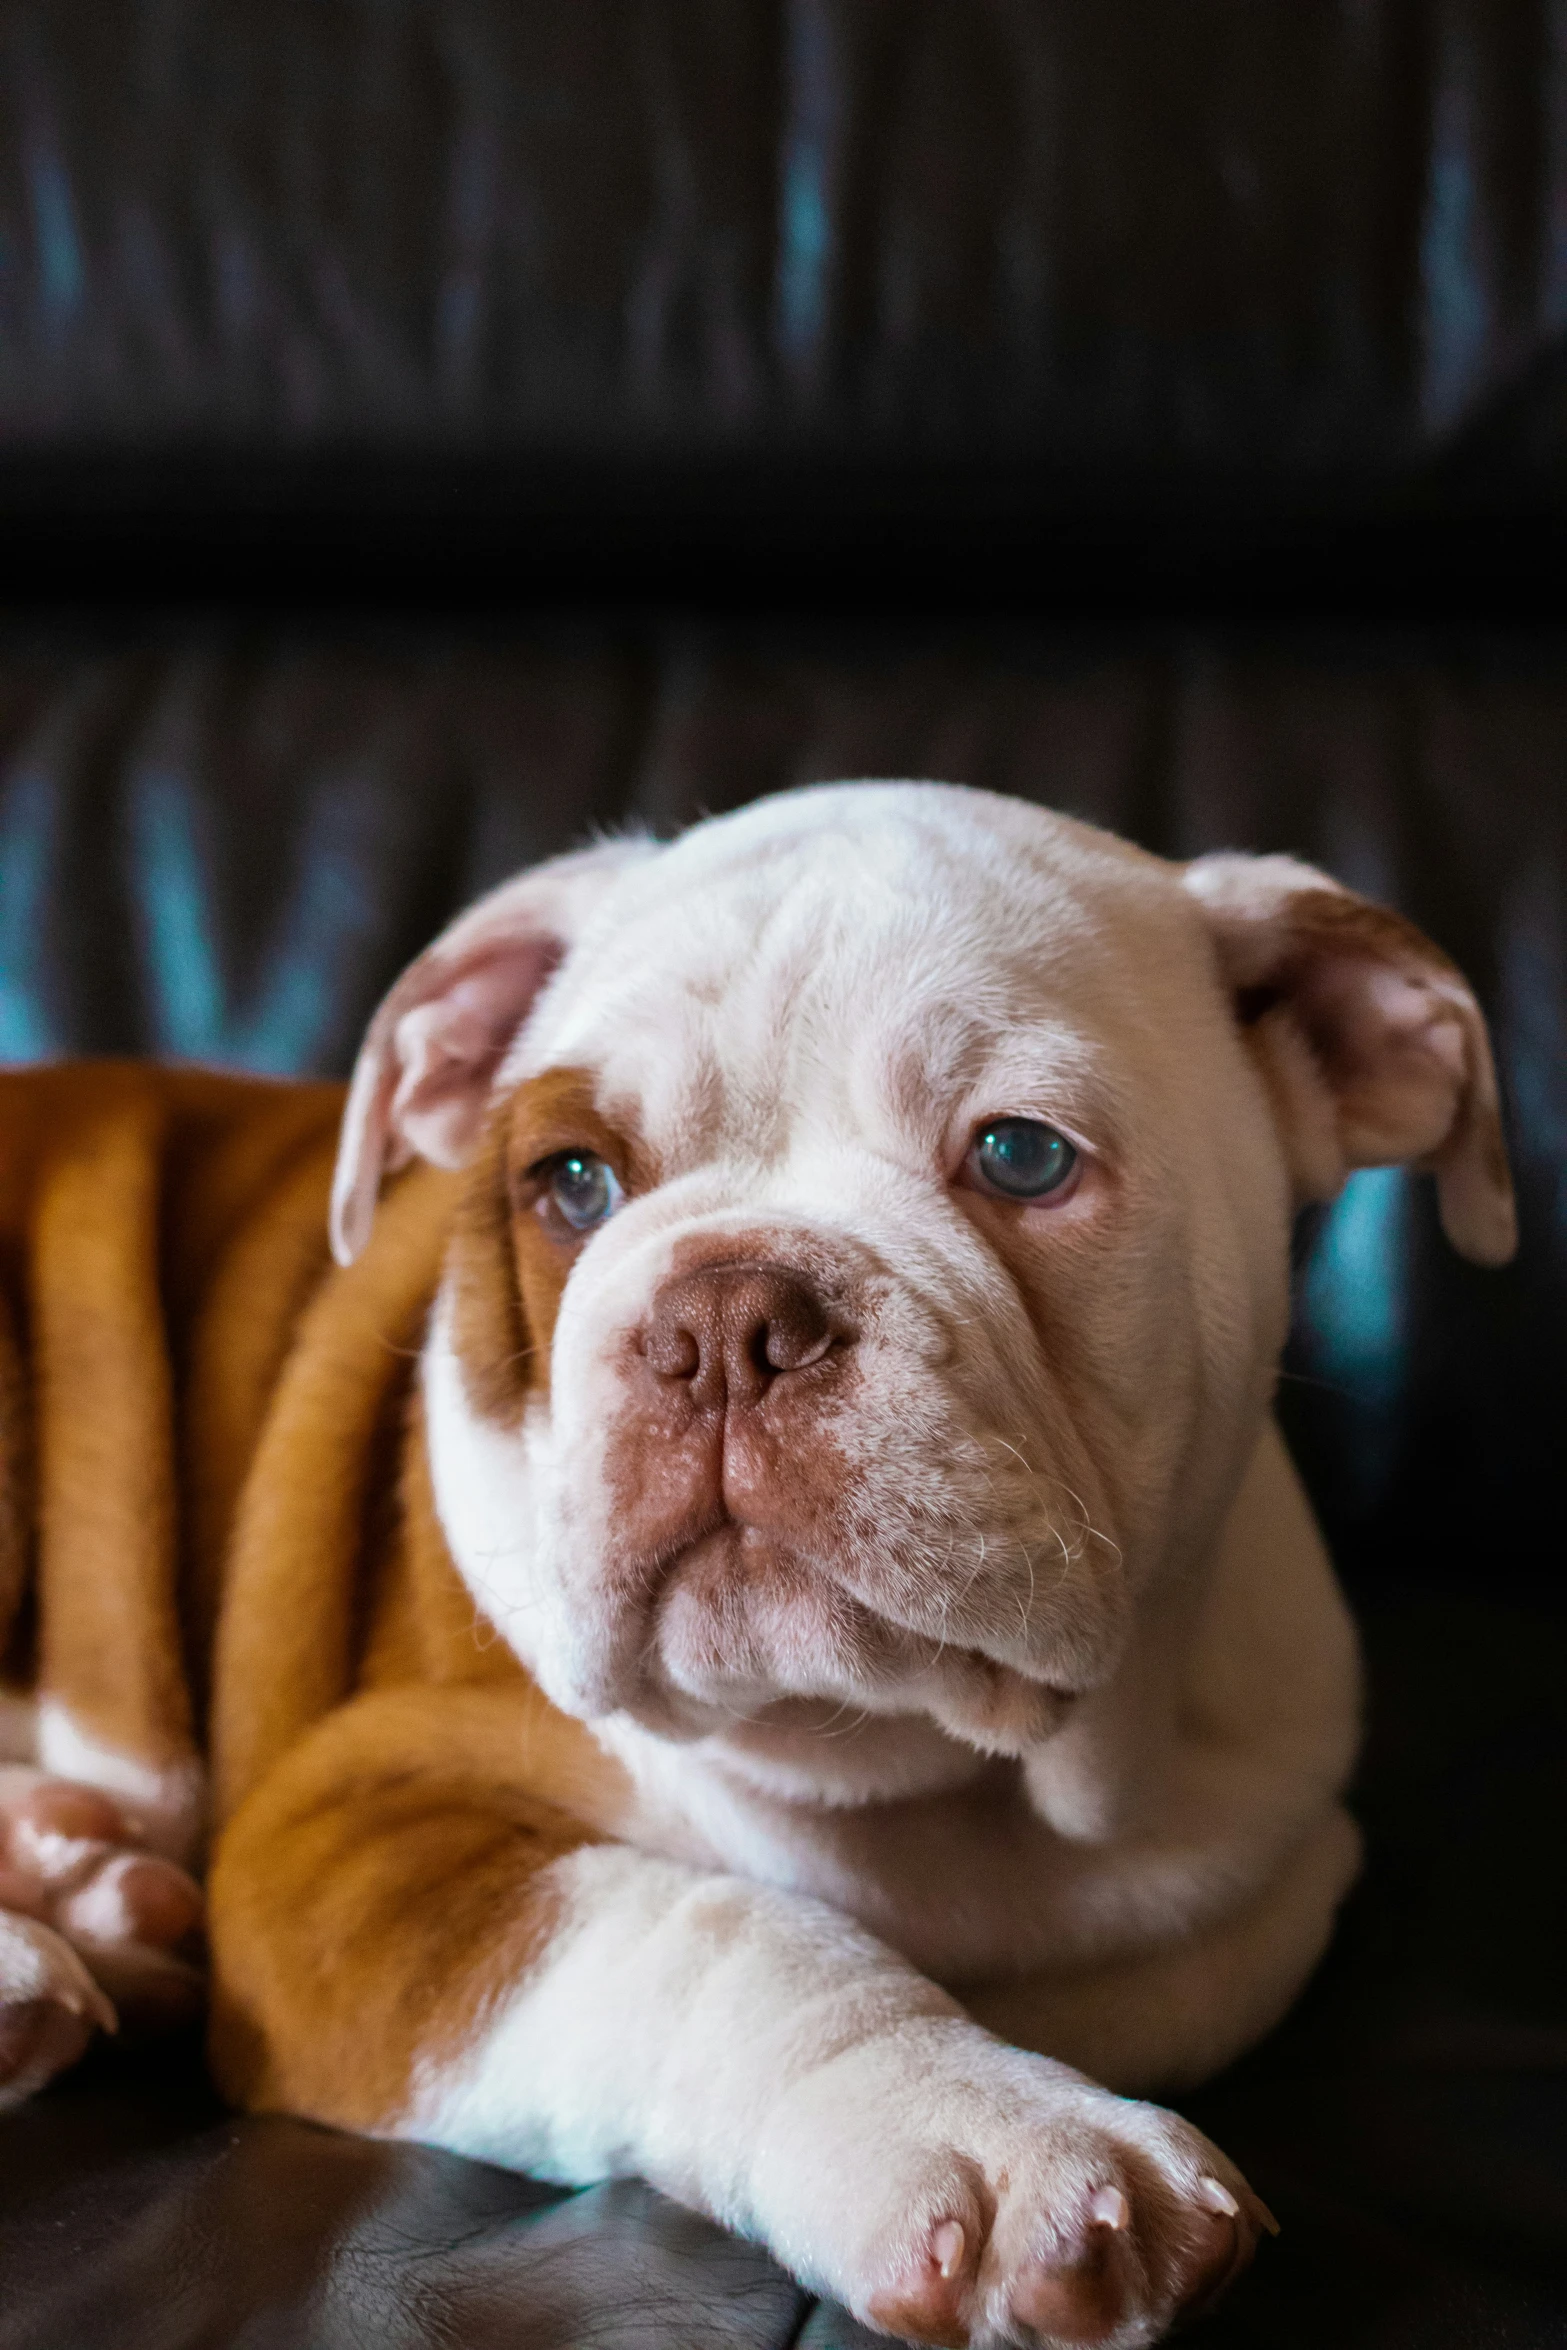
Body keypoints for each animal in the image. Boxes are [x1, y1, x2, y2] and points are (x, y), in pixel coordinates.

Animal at [3, 789, 1522, 2350]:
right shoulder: (349, 1842)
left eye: (1021, 1156)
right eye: (570, 1182)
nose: (725, 1317)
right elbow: (716, 1923)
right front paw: (988, 2128)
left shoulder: (1254, 1874)